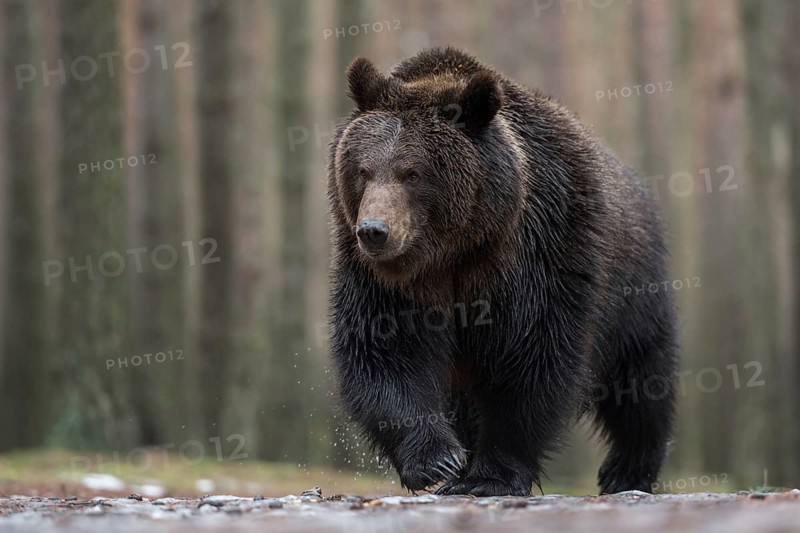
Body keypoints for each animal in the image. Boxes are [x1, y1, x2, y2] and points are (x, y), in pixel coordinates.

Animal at [327, 47, 677, 497]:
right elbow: (386, 349)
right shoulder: (385, 281)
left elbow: (532, 360)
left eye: (413, 173)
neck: (456, 251)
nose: (374, 231)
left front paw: (488, 476)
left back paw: (627, 470)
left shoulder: (542, 251)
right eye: (363, 170)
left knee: (642, 378)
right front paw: (438, 461)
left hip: (633, 289)